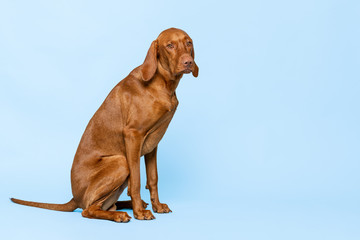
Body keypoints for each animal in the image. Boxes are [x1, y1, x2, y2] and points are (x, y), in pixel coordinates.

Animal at [10, 28, 200, 223]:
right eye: (169, 45)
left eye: (189, 43)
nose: (188, 62)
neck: (162, 84)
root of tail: (74, 198)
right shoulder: (133, 135)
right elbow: (137, 181)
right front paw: (140, 213)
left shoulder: (153, 143)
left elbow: (153, 178)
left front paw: (157, 206)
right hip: (120, 161)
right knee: (88, 210)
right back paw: (122, 213)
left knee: (104, 205)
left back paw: (130, 205)